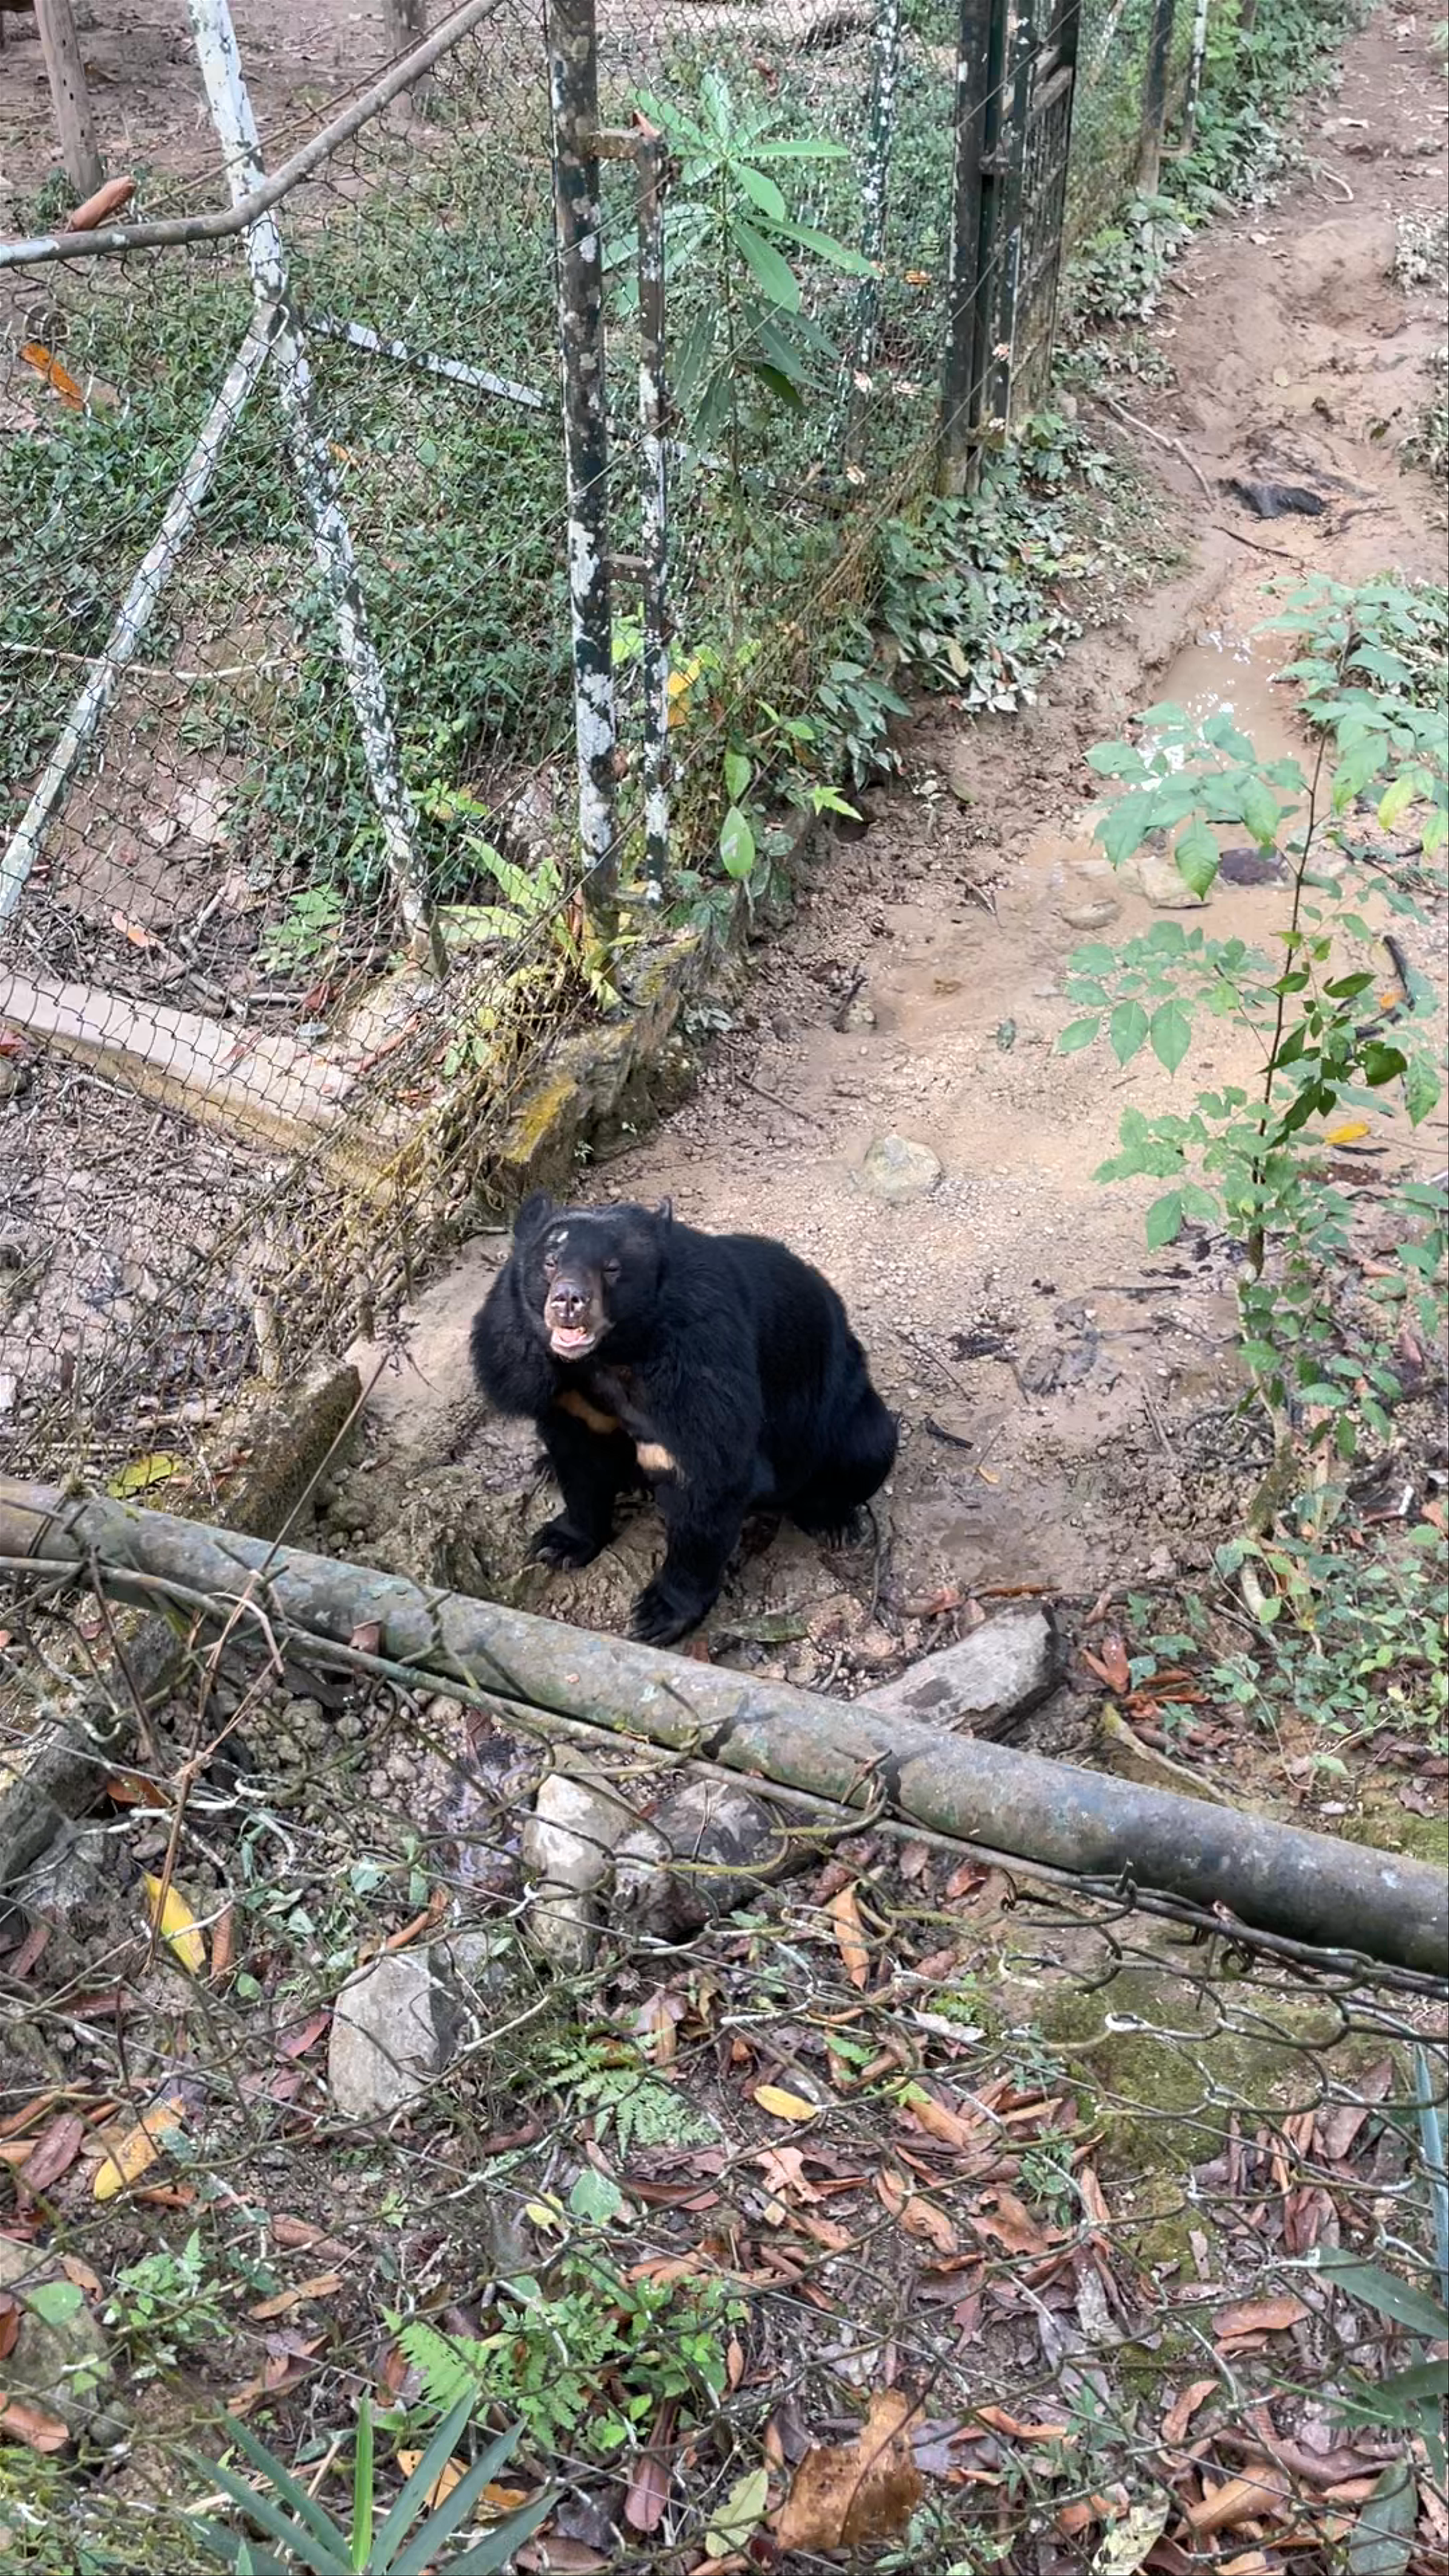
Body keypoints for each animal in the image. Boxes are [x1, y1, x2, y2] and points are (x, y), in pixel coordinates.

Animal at [470, 1191, 897, 1647]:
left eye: (612, 1268)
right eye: (550, 1261)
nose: (569, 1301)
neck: (608, 1356)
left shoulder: (700, 1370)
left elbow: (710, 1485)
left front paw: (658, 1615)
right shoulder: (558, 1389)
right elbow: (579, 1463)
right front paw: (558, 1544)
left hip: (837, 1416)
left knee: (867, 1446)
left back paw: (833, 1522)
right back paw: (549, 1467)